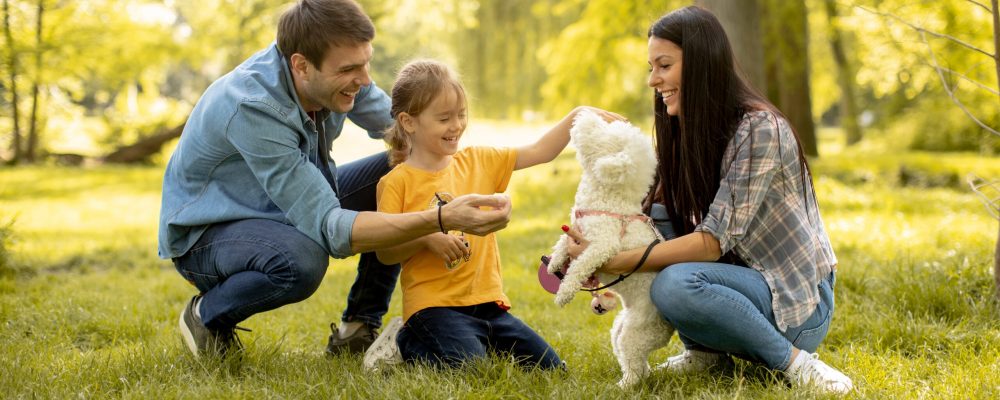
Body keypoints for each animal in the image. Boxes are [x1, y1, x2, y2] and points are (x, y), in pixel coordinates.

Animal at [548, 109, 680, 388]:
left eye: (602, 135)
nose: (585, 113)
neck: (610, 199)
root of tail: (669, 327)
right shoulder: (576, 228)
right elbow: (564, 242)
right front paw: (554, 261)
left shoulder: (601, 246)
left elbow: (579, 267)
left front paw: (564, 293)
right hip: (621, 327)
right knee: (636, 361)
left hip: (636, 333)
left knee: (635, 364)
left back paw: (625, 386)